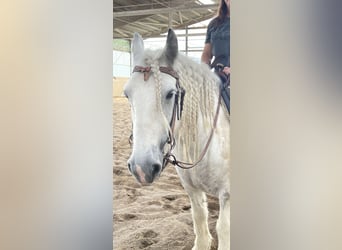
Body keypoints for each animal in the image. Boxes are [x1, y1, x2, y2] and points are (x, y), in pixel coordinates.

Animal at [123, 29, 230, 250]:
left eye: (170, 94)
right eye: (127, 94)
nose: (142, 168)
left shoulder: (227, 194)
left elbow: (223, 229)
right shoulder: (192, 190)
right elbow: (200, 221)